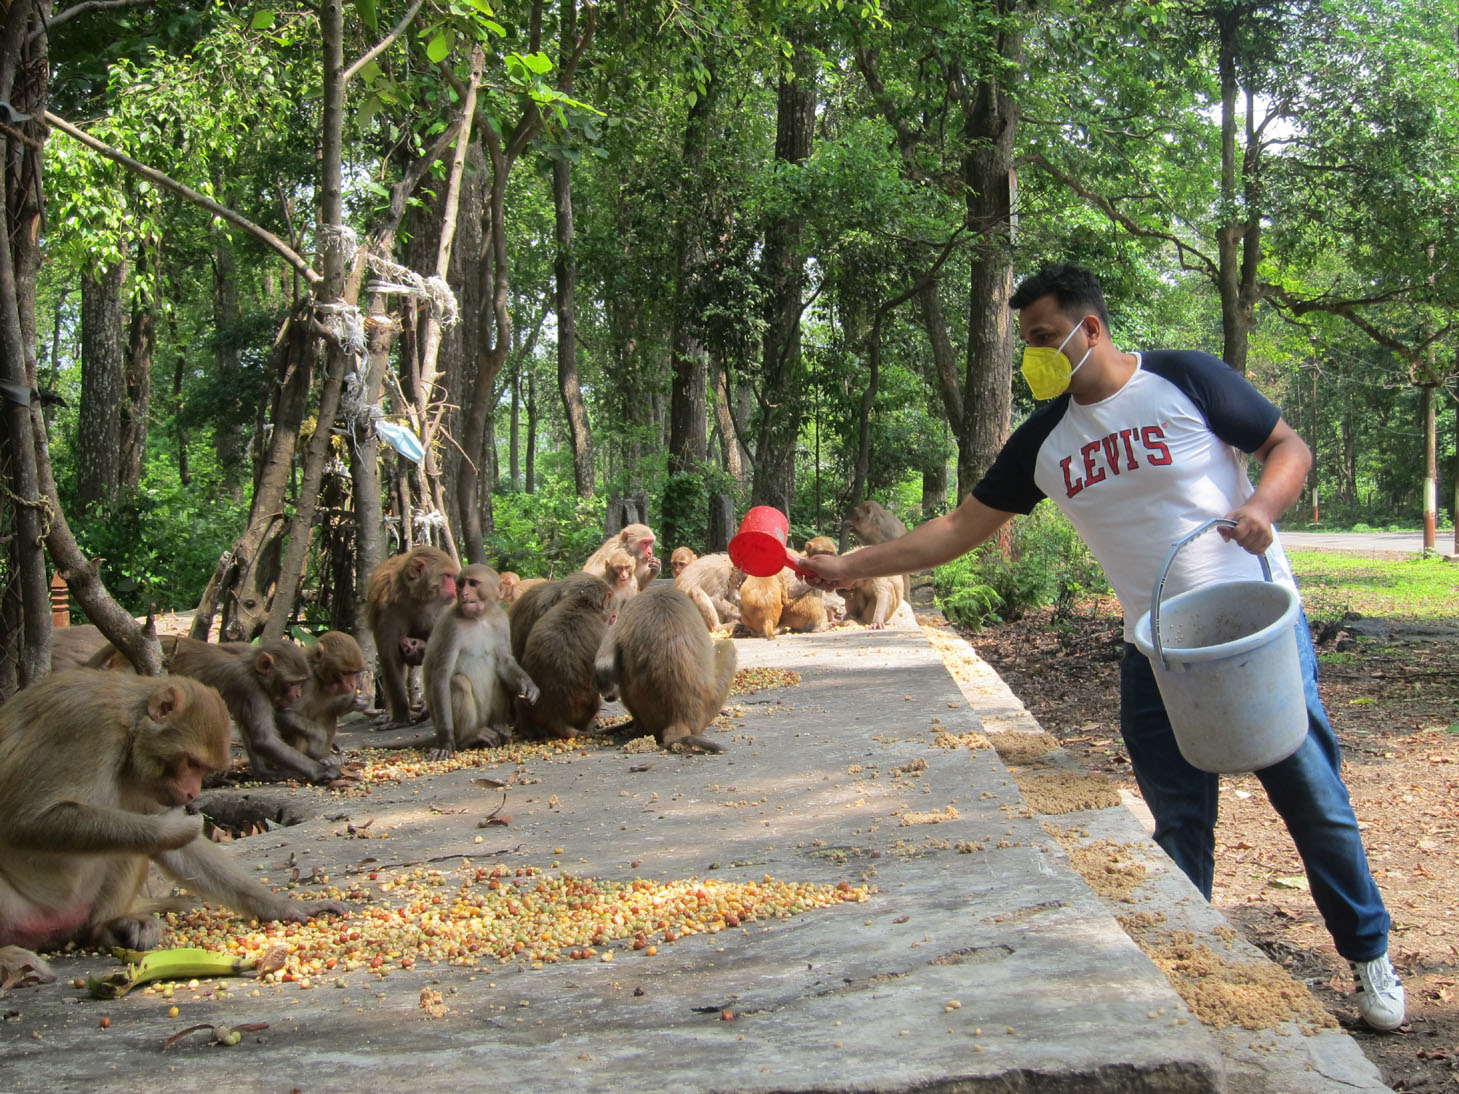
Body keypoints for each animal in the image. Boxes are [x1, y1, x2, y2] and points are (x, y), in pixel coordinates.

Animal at [164, 638, 337, 781]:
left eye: (301, 682)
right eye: (292, 683)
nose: (298, 694)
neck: (253, 671)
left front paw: (264, 773)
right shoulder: (251, 689)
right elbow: (264, 740)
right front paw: (321, 771)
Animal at [275, 633, 364, 764]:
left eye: (354, 672)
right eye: (345, 673)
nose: (352, 684)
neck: (318, 677)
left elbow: (337, 709)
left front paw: (362, 700)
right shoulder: (305, 682)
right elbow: (284, 713)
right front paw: (319, 736)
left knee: (328, 713)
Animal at [363, 548, 455, 729]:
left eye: (452, 576)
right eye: (448, 576)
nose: (455, 588)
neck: (416, 598)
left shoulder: (441, 610)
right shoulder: (388, 610)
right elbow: (390, 657)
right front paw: (400, 718)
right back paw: (388, 713)